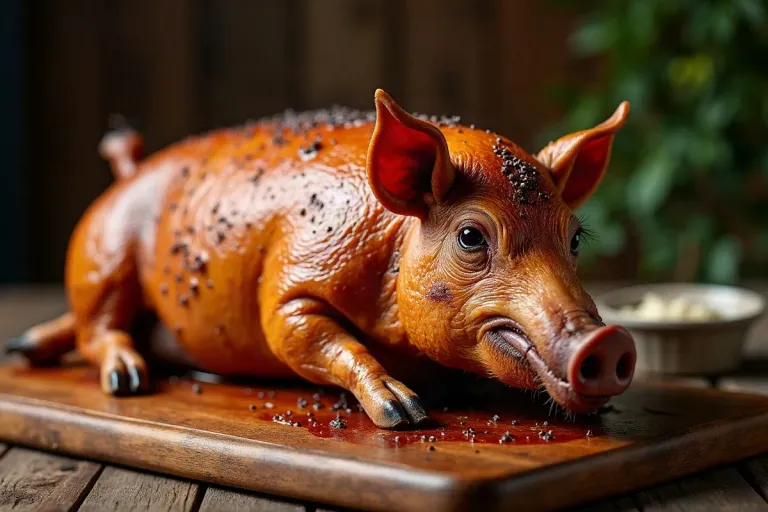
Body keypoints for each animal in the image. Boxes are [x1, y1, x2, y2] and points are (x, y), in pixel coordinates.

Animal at [6, 90, 635, 429]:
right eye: (470, 236)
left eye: (574, 239)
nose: (608, 341)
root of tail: (128, 170)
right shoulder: (292, 284)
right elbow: (312, 337)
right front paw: (406, 413)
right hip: (103, 256)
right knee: (99, 329)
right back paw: (126, 379)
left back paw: (24, 347)